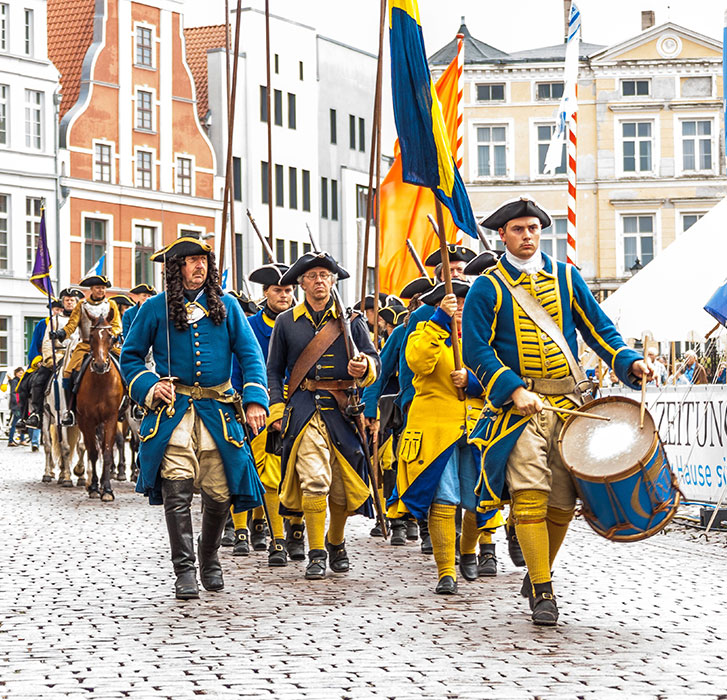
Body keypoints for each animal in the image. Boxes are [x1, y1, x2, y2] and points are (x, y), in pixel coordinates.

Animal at [77, 308, 125, 500]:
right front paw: (94, 487)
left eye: (110, 336)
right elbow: (93, 452)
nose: (99, 365)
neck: (100, 382)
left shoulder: (111, 418)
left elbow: (107, 452)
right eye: (91, 336)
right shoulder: (87, 420)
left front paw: (108, 490)